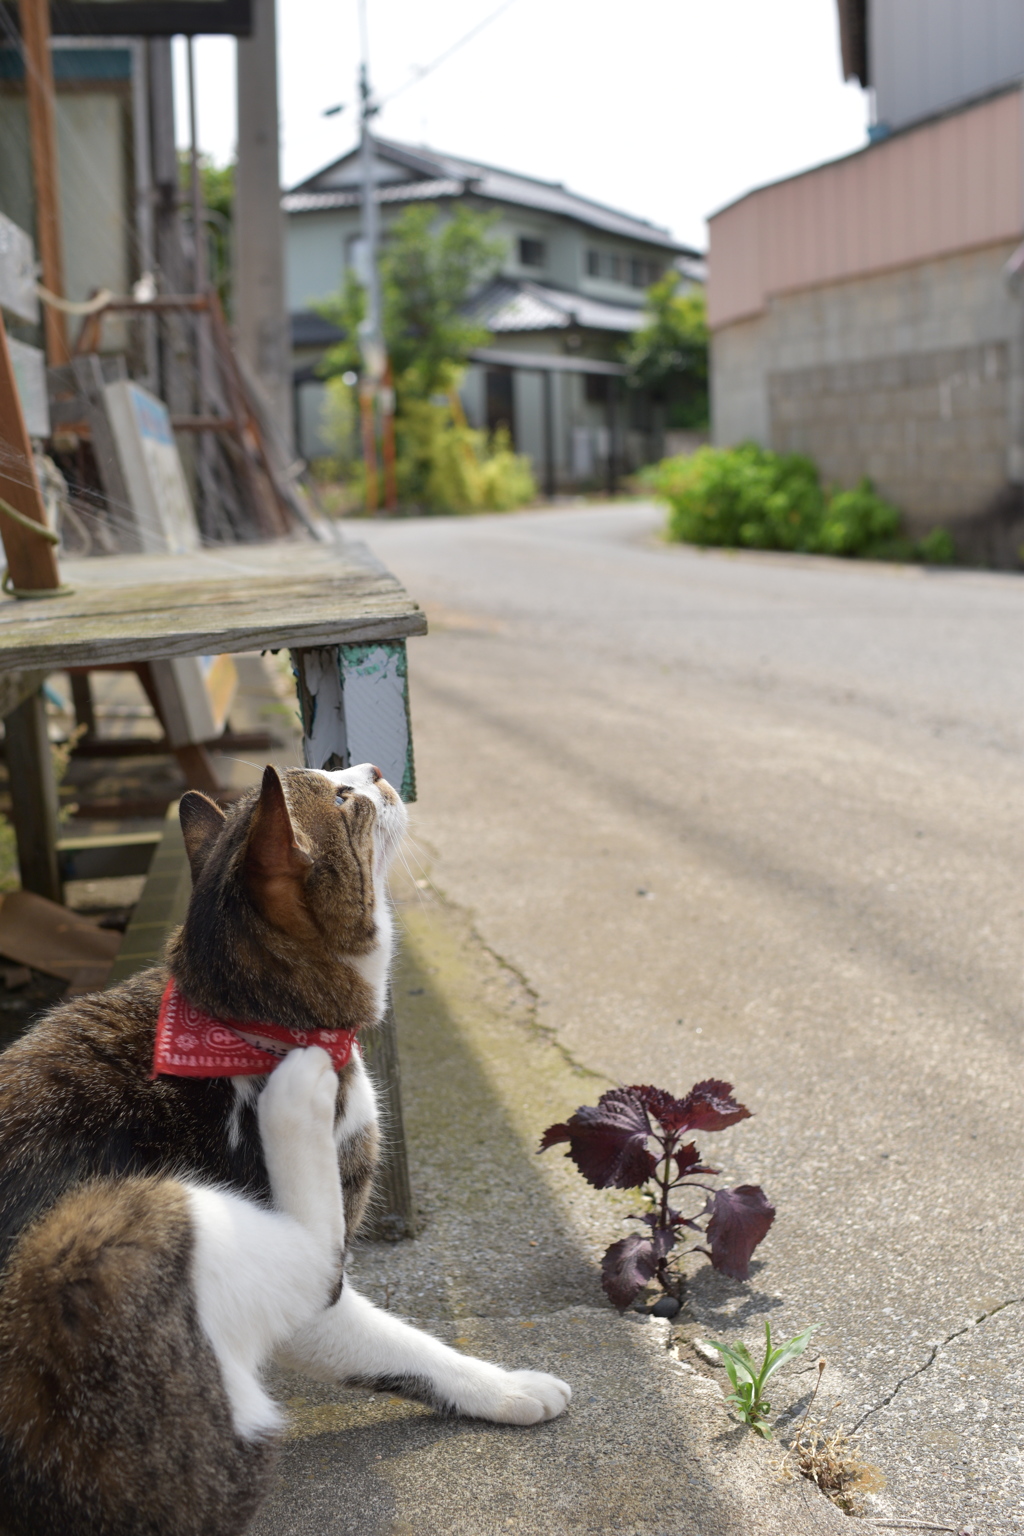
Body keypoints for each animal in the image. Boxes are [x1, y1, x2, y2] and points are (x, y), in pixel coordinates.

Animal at [0, 761, 574, 1529]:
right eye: (342, 796)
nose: (374, 769)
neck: (240, 1019)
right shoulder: (310, 1300)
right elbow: (401, 1342)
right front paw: (507, 1387)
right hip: (114, 1234)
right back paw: (293, 1102)